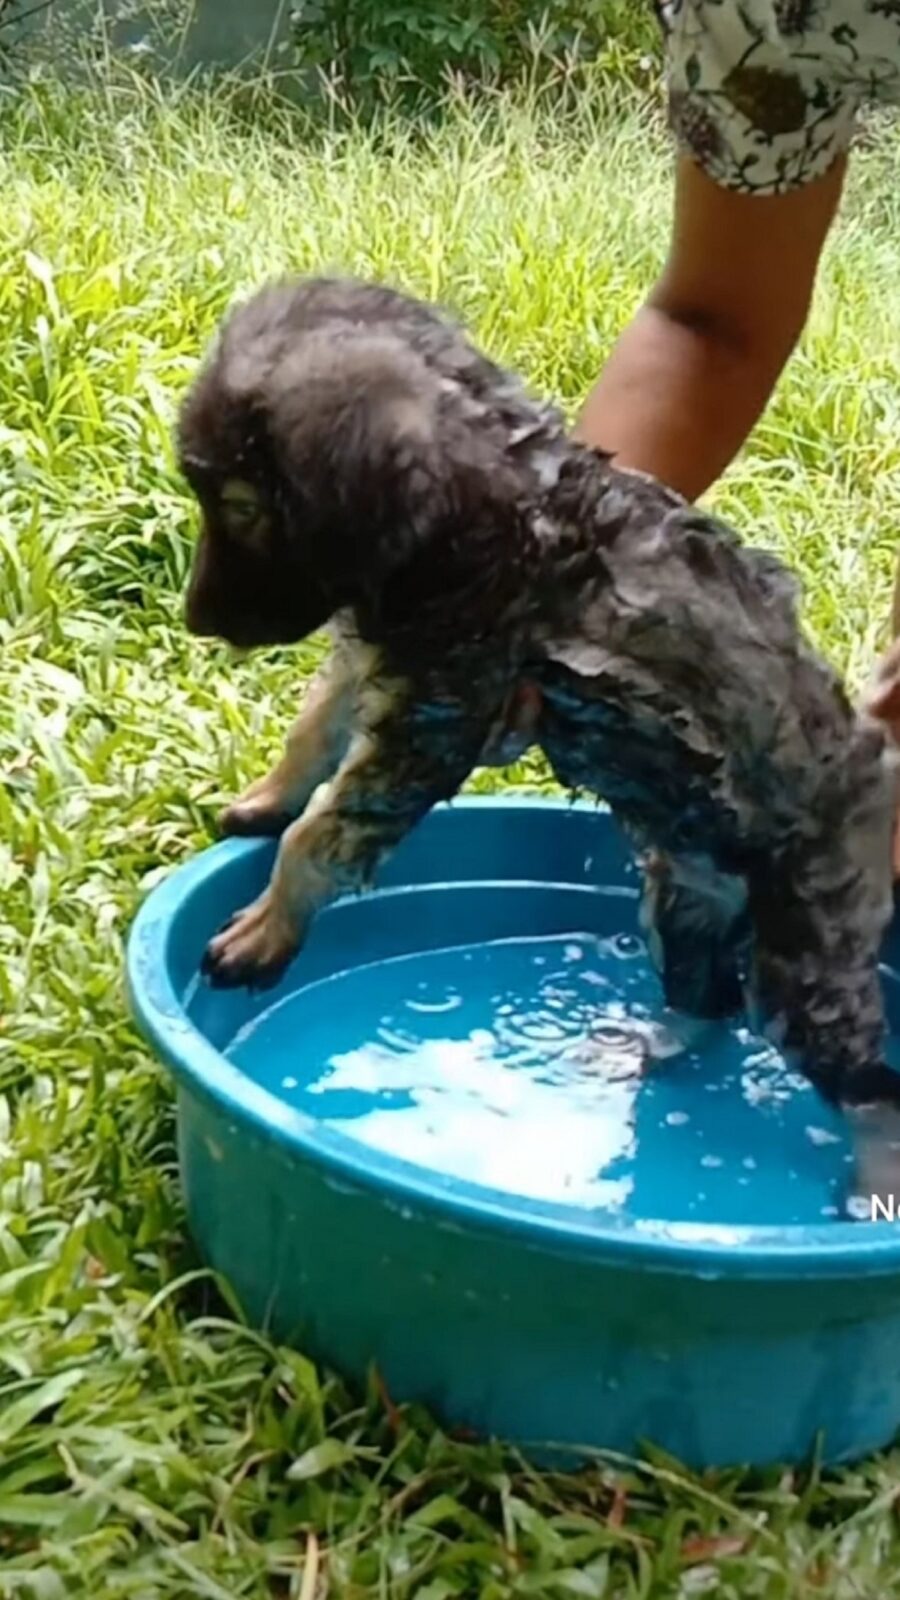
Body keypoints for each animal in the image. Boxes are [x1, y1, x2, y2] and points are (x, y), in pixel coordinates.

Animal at [176, 275, 896, 1209]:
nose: (194, 620)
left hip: (805, 956)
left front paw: (267, 923)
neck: (489, 506)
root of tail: (871, 772)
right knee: (709, 1003)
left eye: (241, 508)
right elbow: (314, 727)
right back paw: (642, 1053)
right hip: (684, 903)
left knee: (869, 1088)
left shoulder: (442, 708)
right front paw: (269, 796)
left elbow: (322, 833)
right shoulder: (379, 654)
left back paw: (874, 1173)